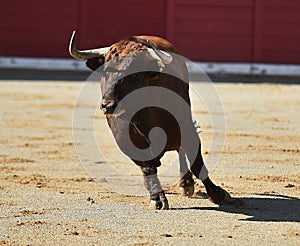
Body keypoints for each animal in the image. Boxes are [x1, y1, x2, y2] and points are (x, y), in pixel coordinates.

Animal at [68, 29, 232, 209]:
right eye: (105, 72)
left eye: (135, 74)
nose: (108, 105)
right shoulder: (127, 142)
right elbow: (148, 168)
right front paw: (157, 198)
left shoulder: (187, 130)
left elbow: (196, 162)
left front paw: (217, 193)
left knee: (181, 151)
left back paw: (186, 183)